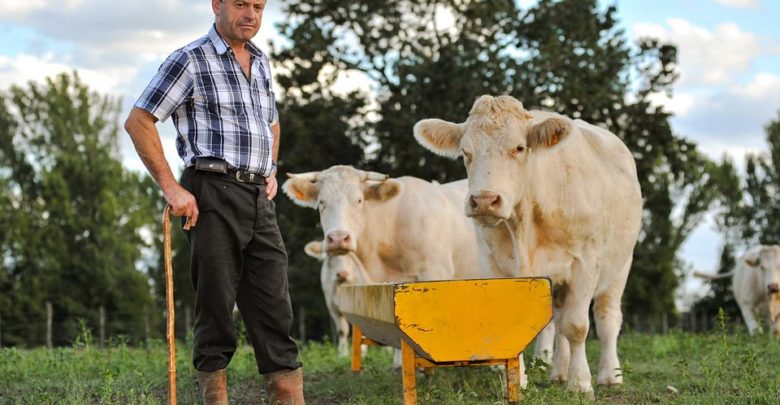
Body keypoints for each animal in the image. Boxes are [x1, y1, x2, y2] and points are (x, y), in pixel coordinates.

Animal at [413, 95, 643, 397]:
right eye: (465, 151)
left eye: (519, 148)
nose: (484, 201)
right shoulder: (493, 265)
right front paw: (515, 382)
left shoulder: (585, 262)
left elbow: (577, 326)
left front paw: (580, 384)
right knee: (559, 321)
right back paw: (558, 373)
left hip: (620, 265)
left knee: (607, 319)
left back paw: (609, 376)